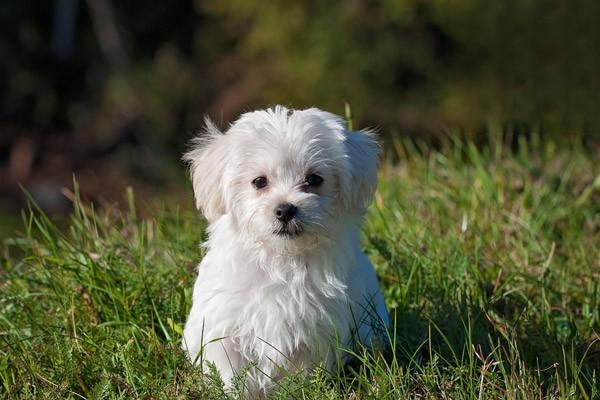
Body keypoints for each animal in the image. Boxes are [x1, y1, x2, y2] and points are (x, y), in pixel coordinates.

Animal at [182, 106, 390, 396]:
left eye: (314, 179)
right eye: (259, 182)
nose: (285, 209)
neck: (281, 259)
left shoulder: (315, 331)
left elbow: (303, 373)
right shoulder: (224, 327)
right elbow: (231, 373)